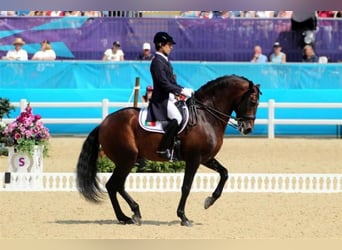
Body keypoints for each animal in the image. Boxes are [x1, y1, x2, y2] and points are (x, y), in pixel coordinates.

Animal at [75, 73, 262, 227]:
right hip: (127, 159)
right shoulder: (194, 159)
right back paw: (131, 214)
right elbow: (186, 187)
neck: (206, 117)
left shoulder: (206, 158)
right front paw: (183, 217)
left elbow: (224, 173)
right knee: (115, 184)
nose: (247, 129)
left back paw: (127, 216)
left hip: (125, 160)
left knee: (114, 185)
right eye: (253, 101)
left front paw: (209, 200)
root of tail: (104, 123)